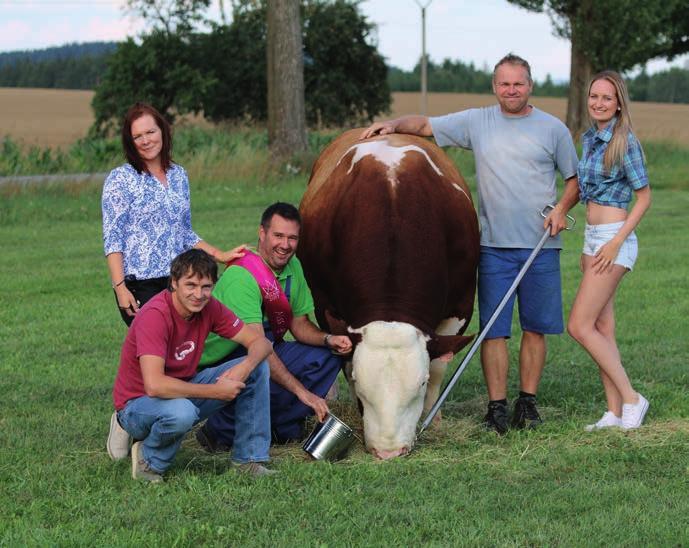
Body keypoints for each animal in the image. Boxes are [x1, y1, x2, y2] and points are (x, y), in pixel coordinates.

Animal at [298, 128, 482, 458]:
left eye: (420, 384)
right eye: (360, 384)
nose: (388, 452)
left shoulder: (461, 304)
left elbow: (439, 365)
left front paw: (433, 419)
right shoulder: (325, 303)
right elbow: (341, 355)